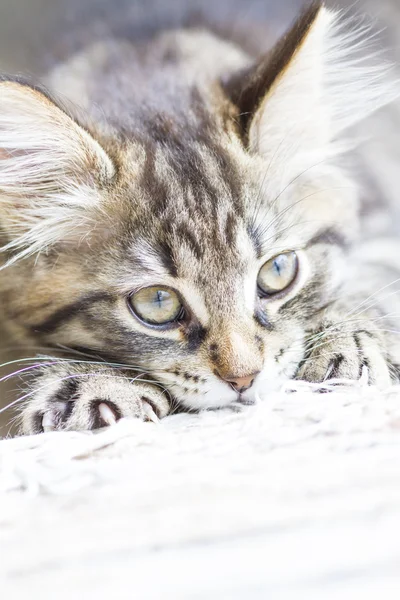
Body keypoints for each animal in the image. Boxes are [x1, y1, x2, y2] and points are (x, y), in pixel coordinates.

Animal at [0, 0, 400, 432]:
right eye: (157, 302)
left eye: (277, 272)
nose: (244, 377)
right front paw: (90, 381)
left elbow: (371, 280)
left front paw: (344, 342)